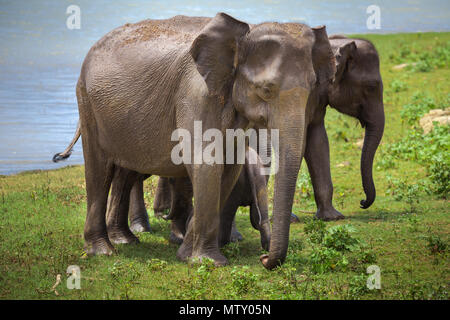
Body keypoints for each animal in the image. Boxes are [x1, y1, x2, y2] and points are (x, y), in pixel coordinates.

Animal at [55, 12, 334, 268]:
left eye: (313, 86)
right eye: (266, 90)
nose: (264, 259)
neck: (246, 31)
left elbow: (228, 169)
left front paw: (186, 254)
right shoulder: (195, 93)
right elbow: (206, 163)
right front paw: (208, 261)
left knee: (123, 172)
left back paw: (125, 240)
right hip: (87, 102)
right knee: (99, 169)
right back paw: (103, 251)